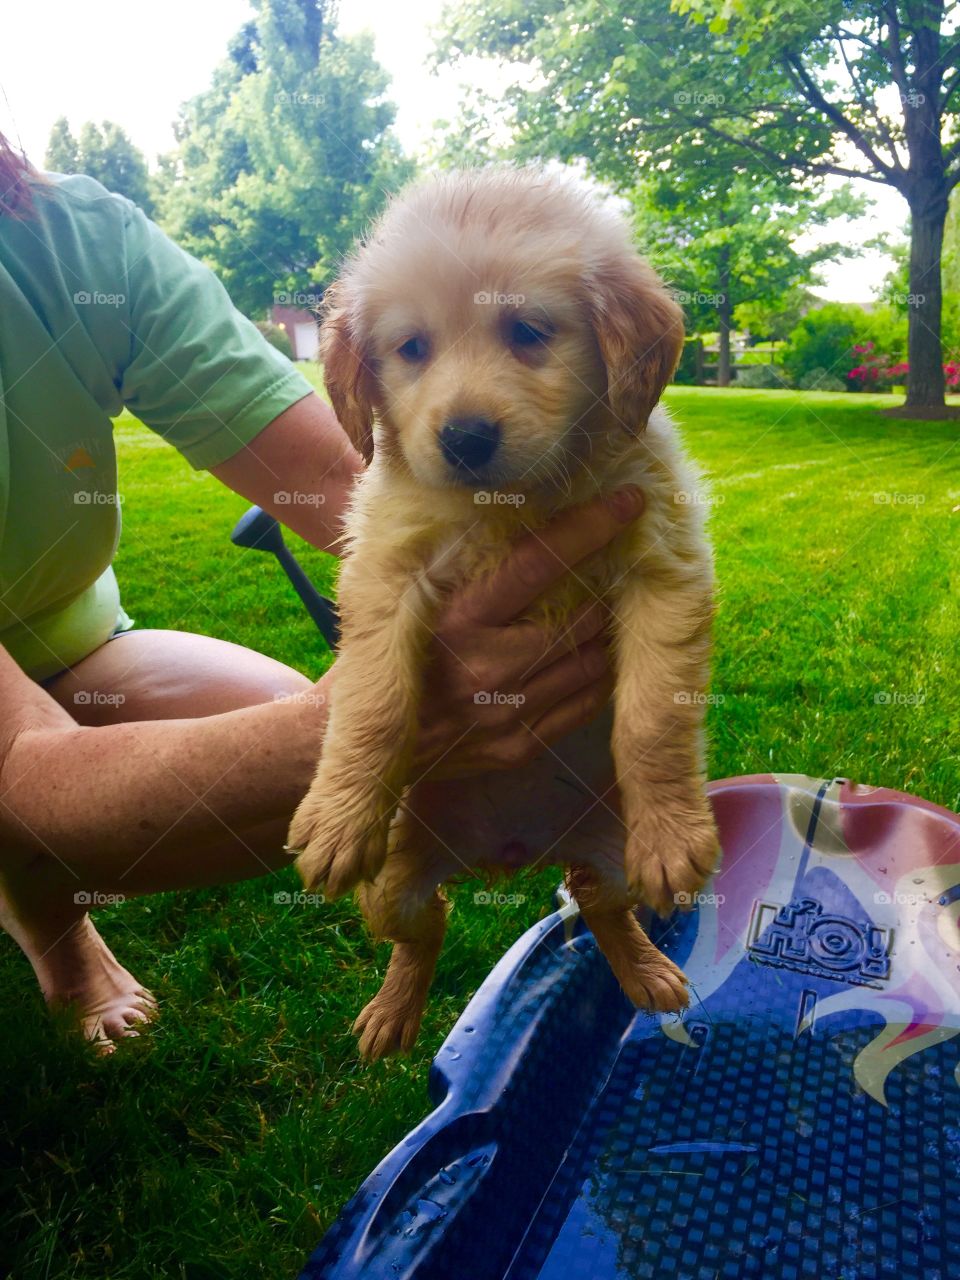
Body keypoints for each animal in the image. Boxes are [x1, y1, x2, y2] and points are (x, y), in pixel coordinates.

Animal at [288, 162, 721, 1059]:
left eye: (528, 331)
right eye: (412, 348)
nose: (464, 438)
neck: (513, 505)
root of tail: (512, 854)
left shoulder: (662, 565)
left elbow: (654, 718)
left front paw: (674, 832)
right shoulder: (386, 572)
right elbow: (374, 700)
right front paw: (338, 815)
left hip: (607, 854)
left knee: (600, 909)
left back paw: (646, 971)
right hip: (395, 878)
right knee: (425, 928)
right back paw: (393, 1012)